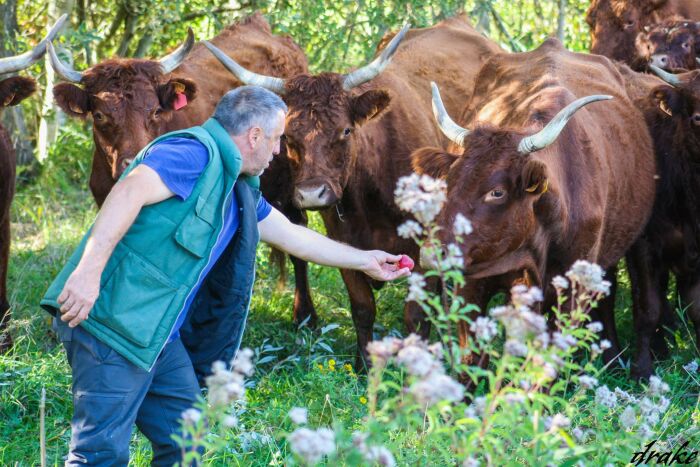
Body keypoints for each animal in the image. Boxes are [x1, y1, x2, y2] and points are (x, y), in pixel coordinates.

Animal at [205, 14, 506, 368]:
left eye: (346, 130)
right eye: (288, 137)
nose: (312, 194)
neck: (373, 197)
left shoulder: (428, 245)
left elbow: (415, 314)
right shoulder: (344, 240)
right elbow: (362, 307)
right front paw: (364, 364)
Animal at [410, 37, 656, 366]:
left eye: (497, 192)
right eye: (448, 180)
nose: (433, 253)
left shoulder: (572, 292)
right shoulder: (472, 282)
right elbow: (472, 360)